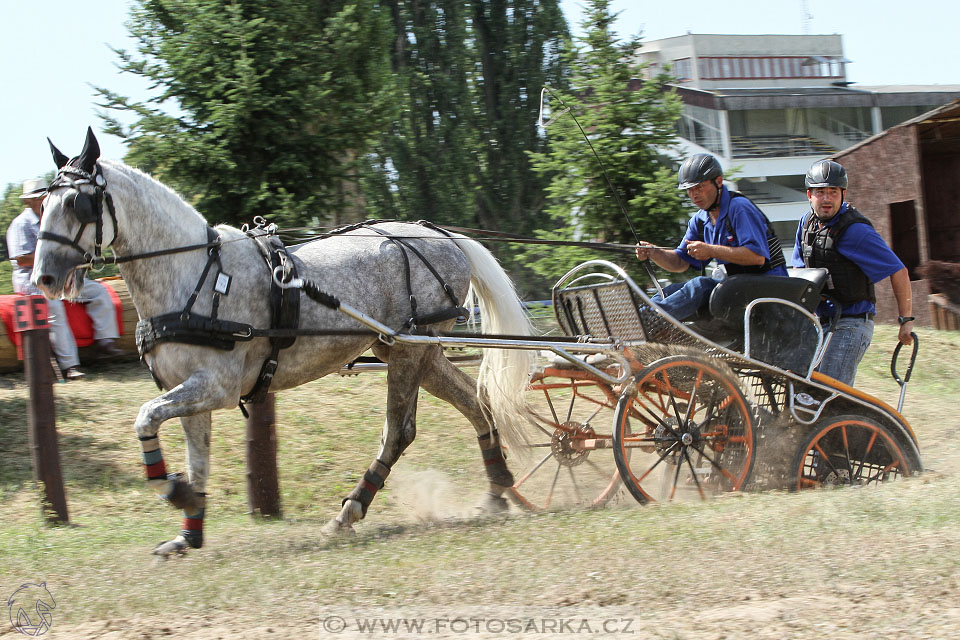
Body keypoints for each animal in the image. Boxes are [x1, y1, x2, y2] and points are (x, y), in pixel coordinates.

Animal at [31, 130, 532, 556]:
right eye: (43, 205)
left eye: (77, 202)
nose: (43, 278)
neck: (194, 277)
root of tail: (442, 236)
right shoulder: (189, 390)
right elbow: (196, 459)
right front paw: (189, 528)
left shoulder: (216, 387)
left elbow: (145, 419)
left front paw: (173, 490)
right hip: (408, 348)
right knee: (475, 403)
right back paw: (497, 490)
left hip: (410, 349)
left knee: (399, 431)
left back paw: (350, 511)